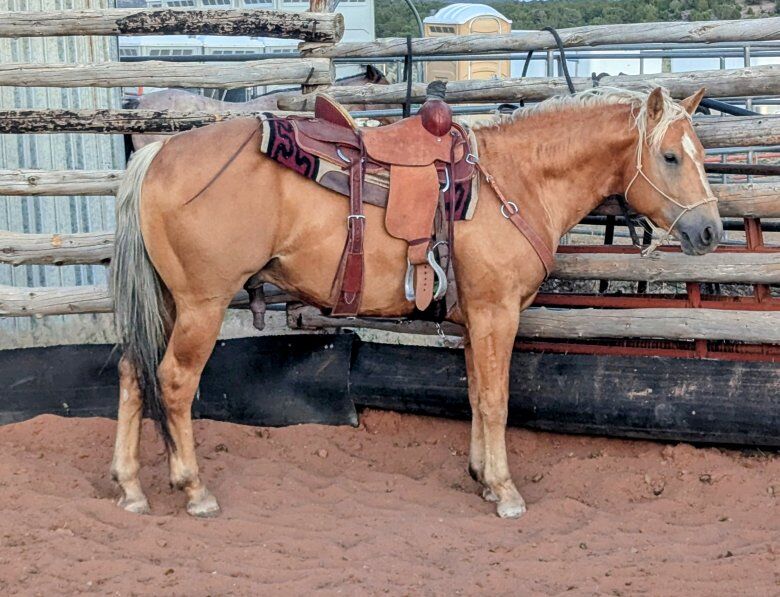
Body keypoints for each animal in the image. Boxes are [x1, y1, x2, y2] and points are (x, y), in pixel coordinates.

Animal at [109, 86, 721, 519]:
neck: (516, 179)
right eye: (671, 156)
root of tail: (158, 152)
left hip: (168, 301)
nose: (712, 230)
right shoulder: (497, 312)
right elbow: (496, 401)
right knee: (173, 381)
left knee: (132, 373)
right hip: (202, 304)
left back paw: (131, 487)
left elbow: (475, 395)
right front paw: (506, 492)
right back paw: (194, 490)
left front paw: (482, 479)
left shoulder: (476, 318)